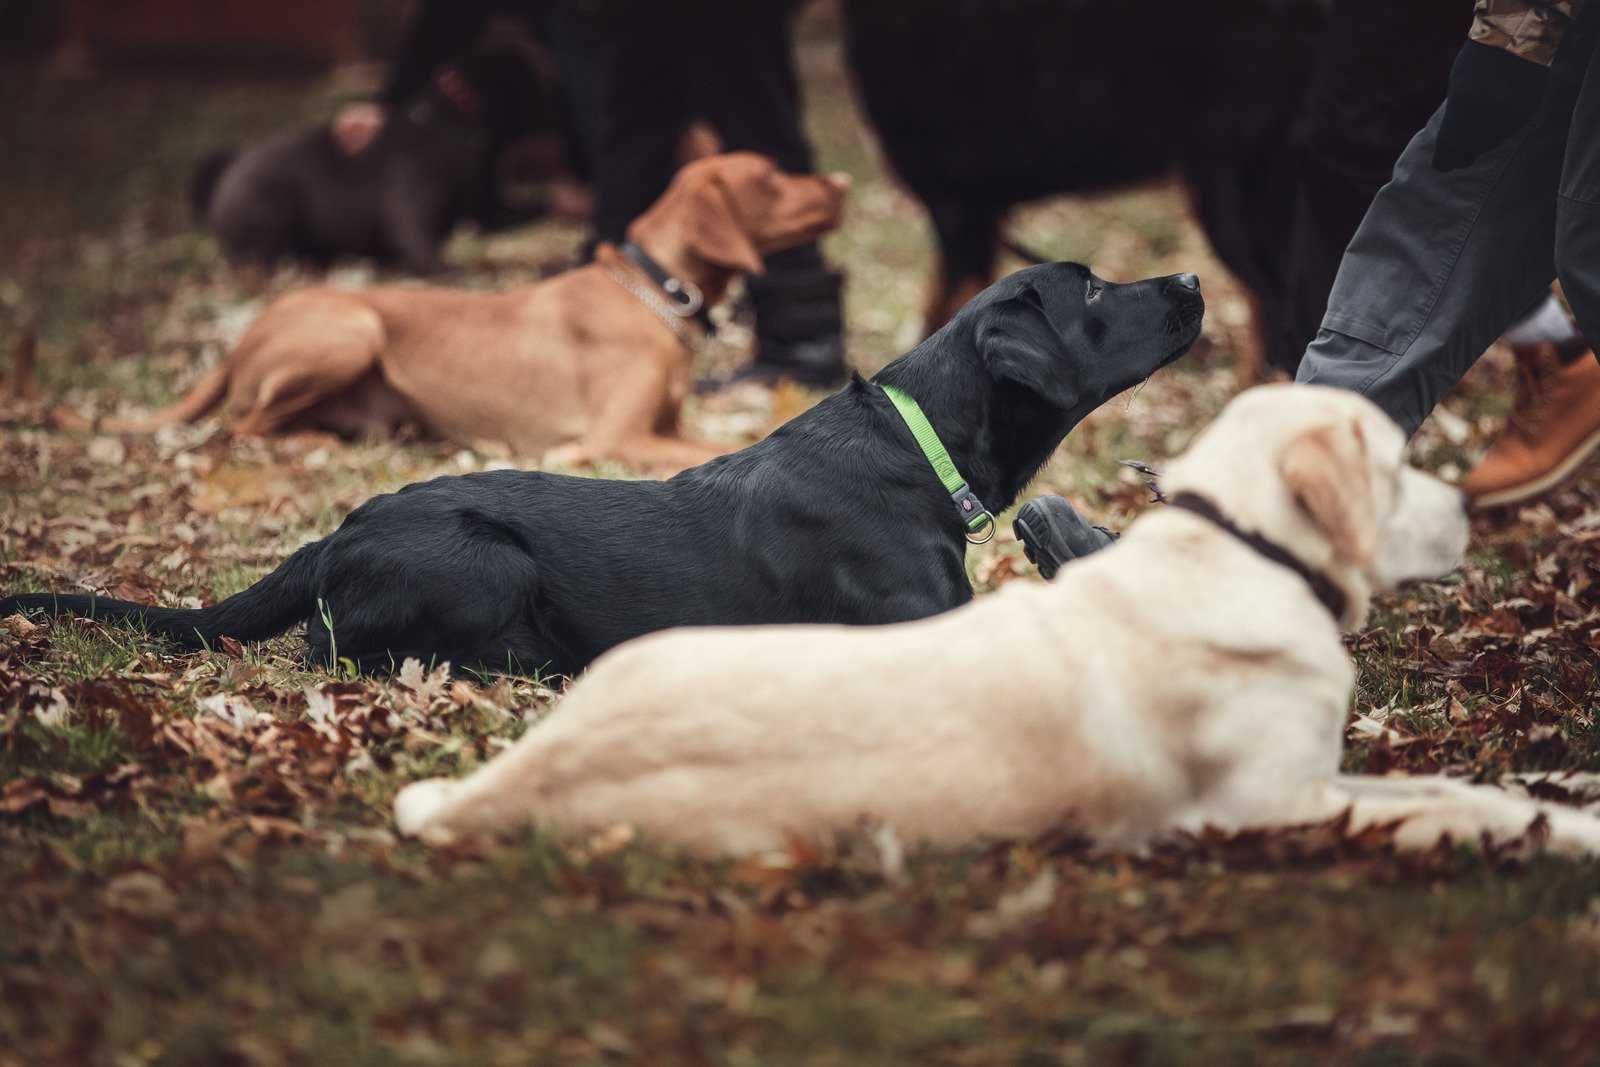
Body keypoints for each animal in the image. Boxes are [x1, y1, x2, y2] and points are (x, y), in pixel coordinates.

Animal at [3, 262, 1203, 675]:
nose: (1193, 278)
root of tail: (332, 532)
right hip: (480, 561)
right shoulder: (919, 623)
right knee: (333, 647)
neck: (919, 441)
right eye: (1095, 292)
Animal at [109, 153, 851, 470]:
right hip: (353, 328)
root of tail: (243, 337)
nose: (843, 180)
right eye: (772, 177)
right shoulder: (621, 438)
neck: (651, 292)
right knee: (239, 426)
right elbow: (726, 444)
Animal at [194, 47, 569, 273]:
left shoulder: (485, 207)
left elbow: (519, 210)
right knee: (257, 255)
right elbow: (418, 237)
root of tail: (225, 175)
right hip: (270, 207)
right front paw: (445, 270)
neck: (452, 128)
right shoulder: (413, 200)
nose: (555, 81)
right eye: (525, 81)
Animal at [393, 383, 1600, 857]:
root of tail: (522, 773)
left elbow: (1462, 784)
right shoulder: (1263, 806)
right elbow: (1453, 808)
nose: (1469, 508)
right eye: (1395, 465)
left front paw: (1562, 791)